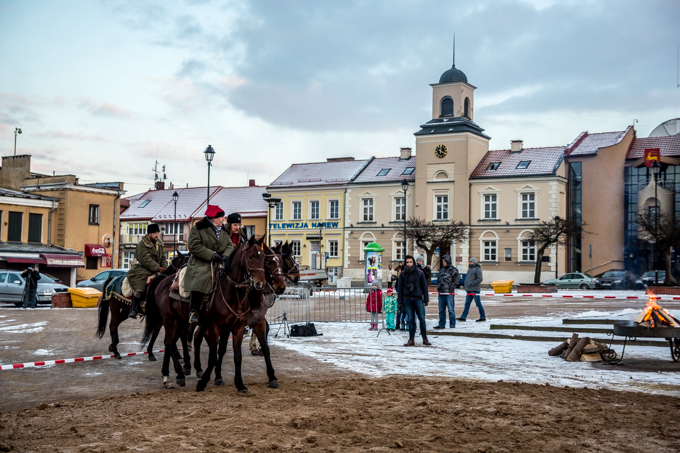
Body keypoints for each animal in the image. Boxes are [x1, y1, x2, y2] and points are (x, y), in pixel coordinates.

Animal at [191, 240, 286, 388]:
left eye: (281, 261)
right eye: (268, 262)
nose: (281, 287)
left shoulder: (257, 322)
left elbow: (265, 347)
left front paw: (272, 376)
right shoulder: (226, 326)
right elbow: (220, 350)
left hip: (204, 323)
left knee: (197, 337)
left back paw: (199, 369)